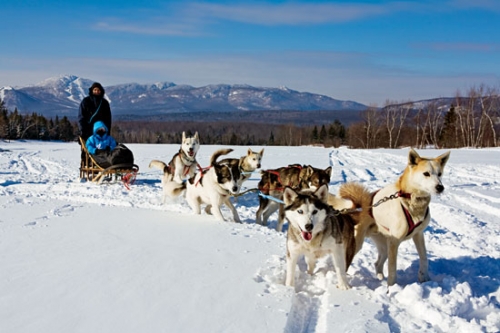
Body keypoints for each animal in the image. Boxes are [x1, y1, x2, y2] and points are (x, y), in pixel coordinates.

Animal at [336, 148, 450, 286]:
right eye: (426, 173)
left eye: (439, 174)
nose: (440, 187)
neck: (410, 199)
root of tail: (359, 206)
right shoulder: (394, 242)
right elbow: (392, 268)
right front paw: (392, 287)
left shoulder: (418, 235)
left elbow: (424, 257)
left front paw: (424, 278)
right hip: (357, 244)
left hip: (384, 247)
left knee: (377, 263)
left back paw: (380, 278)